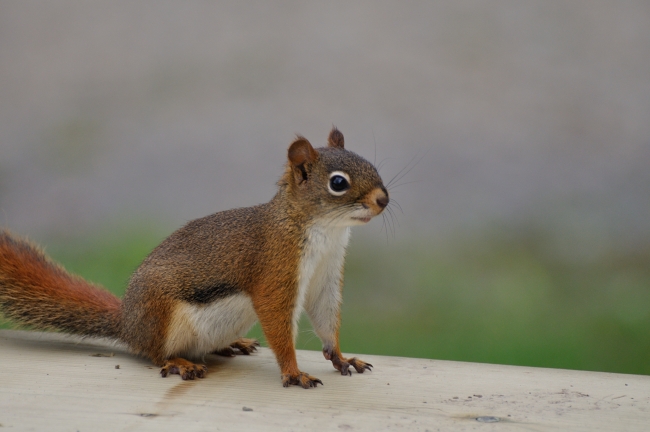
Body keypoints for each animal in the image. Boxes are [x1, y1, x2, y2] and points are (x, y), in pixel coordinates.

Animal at [0, 127, 389, 389]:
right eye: (338, 183)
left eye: (370, 163)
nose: (383, 199)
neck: (325, 231)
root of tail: (127, 323)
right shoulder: (274, 268)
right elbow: (279, 323)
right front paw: (294, 373)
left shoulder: (326, 274)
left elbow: (325, 318)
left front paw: (341, 358)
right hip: (162, 316)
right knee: (154, 354)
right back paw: (180, 363)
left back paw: (234, 343)